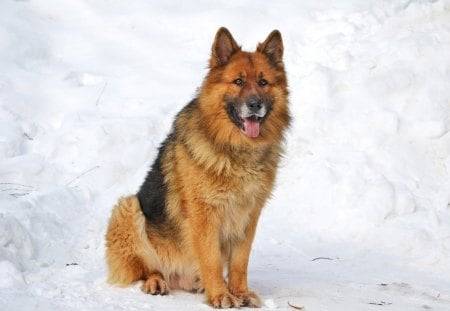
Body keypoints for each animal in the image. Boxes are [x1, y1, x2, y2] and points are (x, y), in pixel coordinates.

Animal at [103, 27, 290, 310]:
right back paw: (156, 281)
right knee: (146, 269)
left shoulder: (248, 215)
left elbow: (240, 262)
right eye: (238, 81)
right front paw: (221, 295)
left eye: (263, 82)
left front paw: (240, 292)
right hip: (127, 208)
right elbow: (211, 259)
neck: (235, 151)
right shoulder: (204, 215)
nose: (255, 105)